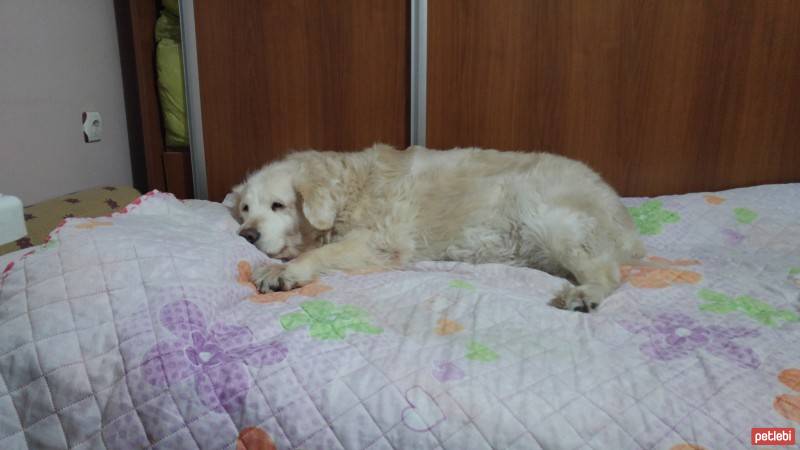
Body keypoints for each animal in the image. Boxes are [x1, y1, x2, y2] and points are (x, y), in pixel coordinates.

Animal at [230, 142, 644, 312]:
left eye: (279, 205)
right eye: (245, 209)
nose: (246, 235)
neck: (352, 188)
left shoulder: (379, 242)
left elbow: (322, 252)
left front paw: (282, 273)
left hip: (550, 217)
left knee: (608, 271)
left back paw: (584, 295)